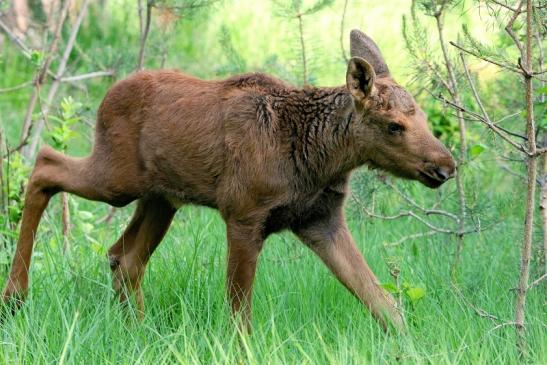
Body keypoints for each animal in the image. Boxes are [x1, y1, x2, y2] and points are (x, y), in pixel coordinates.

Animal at [2, 29, 456, 328]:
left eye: (420, 114)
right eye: (394, 125)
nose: (446, 166)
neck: (321, 159)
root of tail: (107, 97)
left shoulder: (319, 220)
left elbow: (385, 305)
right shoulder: (244, 213)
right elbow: (240, 316)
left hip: (161, 197)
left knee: (123, 256)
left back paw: (138, 330)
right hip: (117, 179)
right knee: (44, 164)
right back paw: (15, 296)